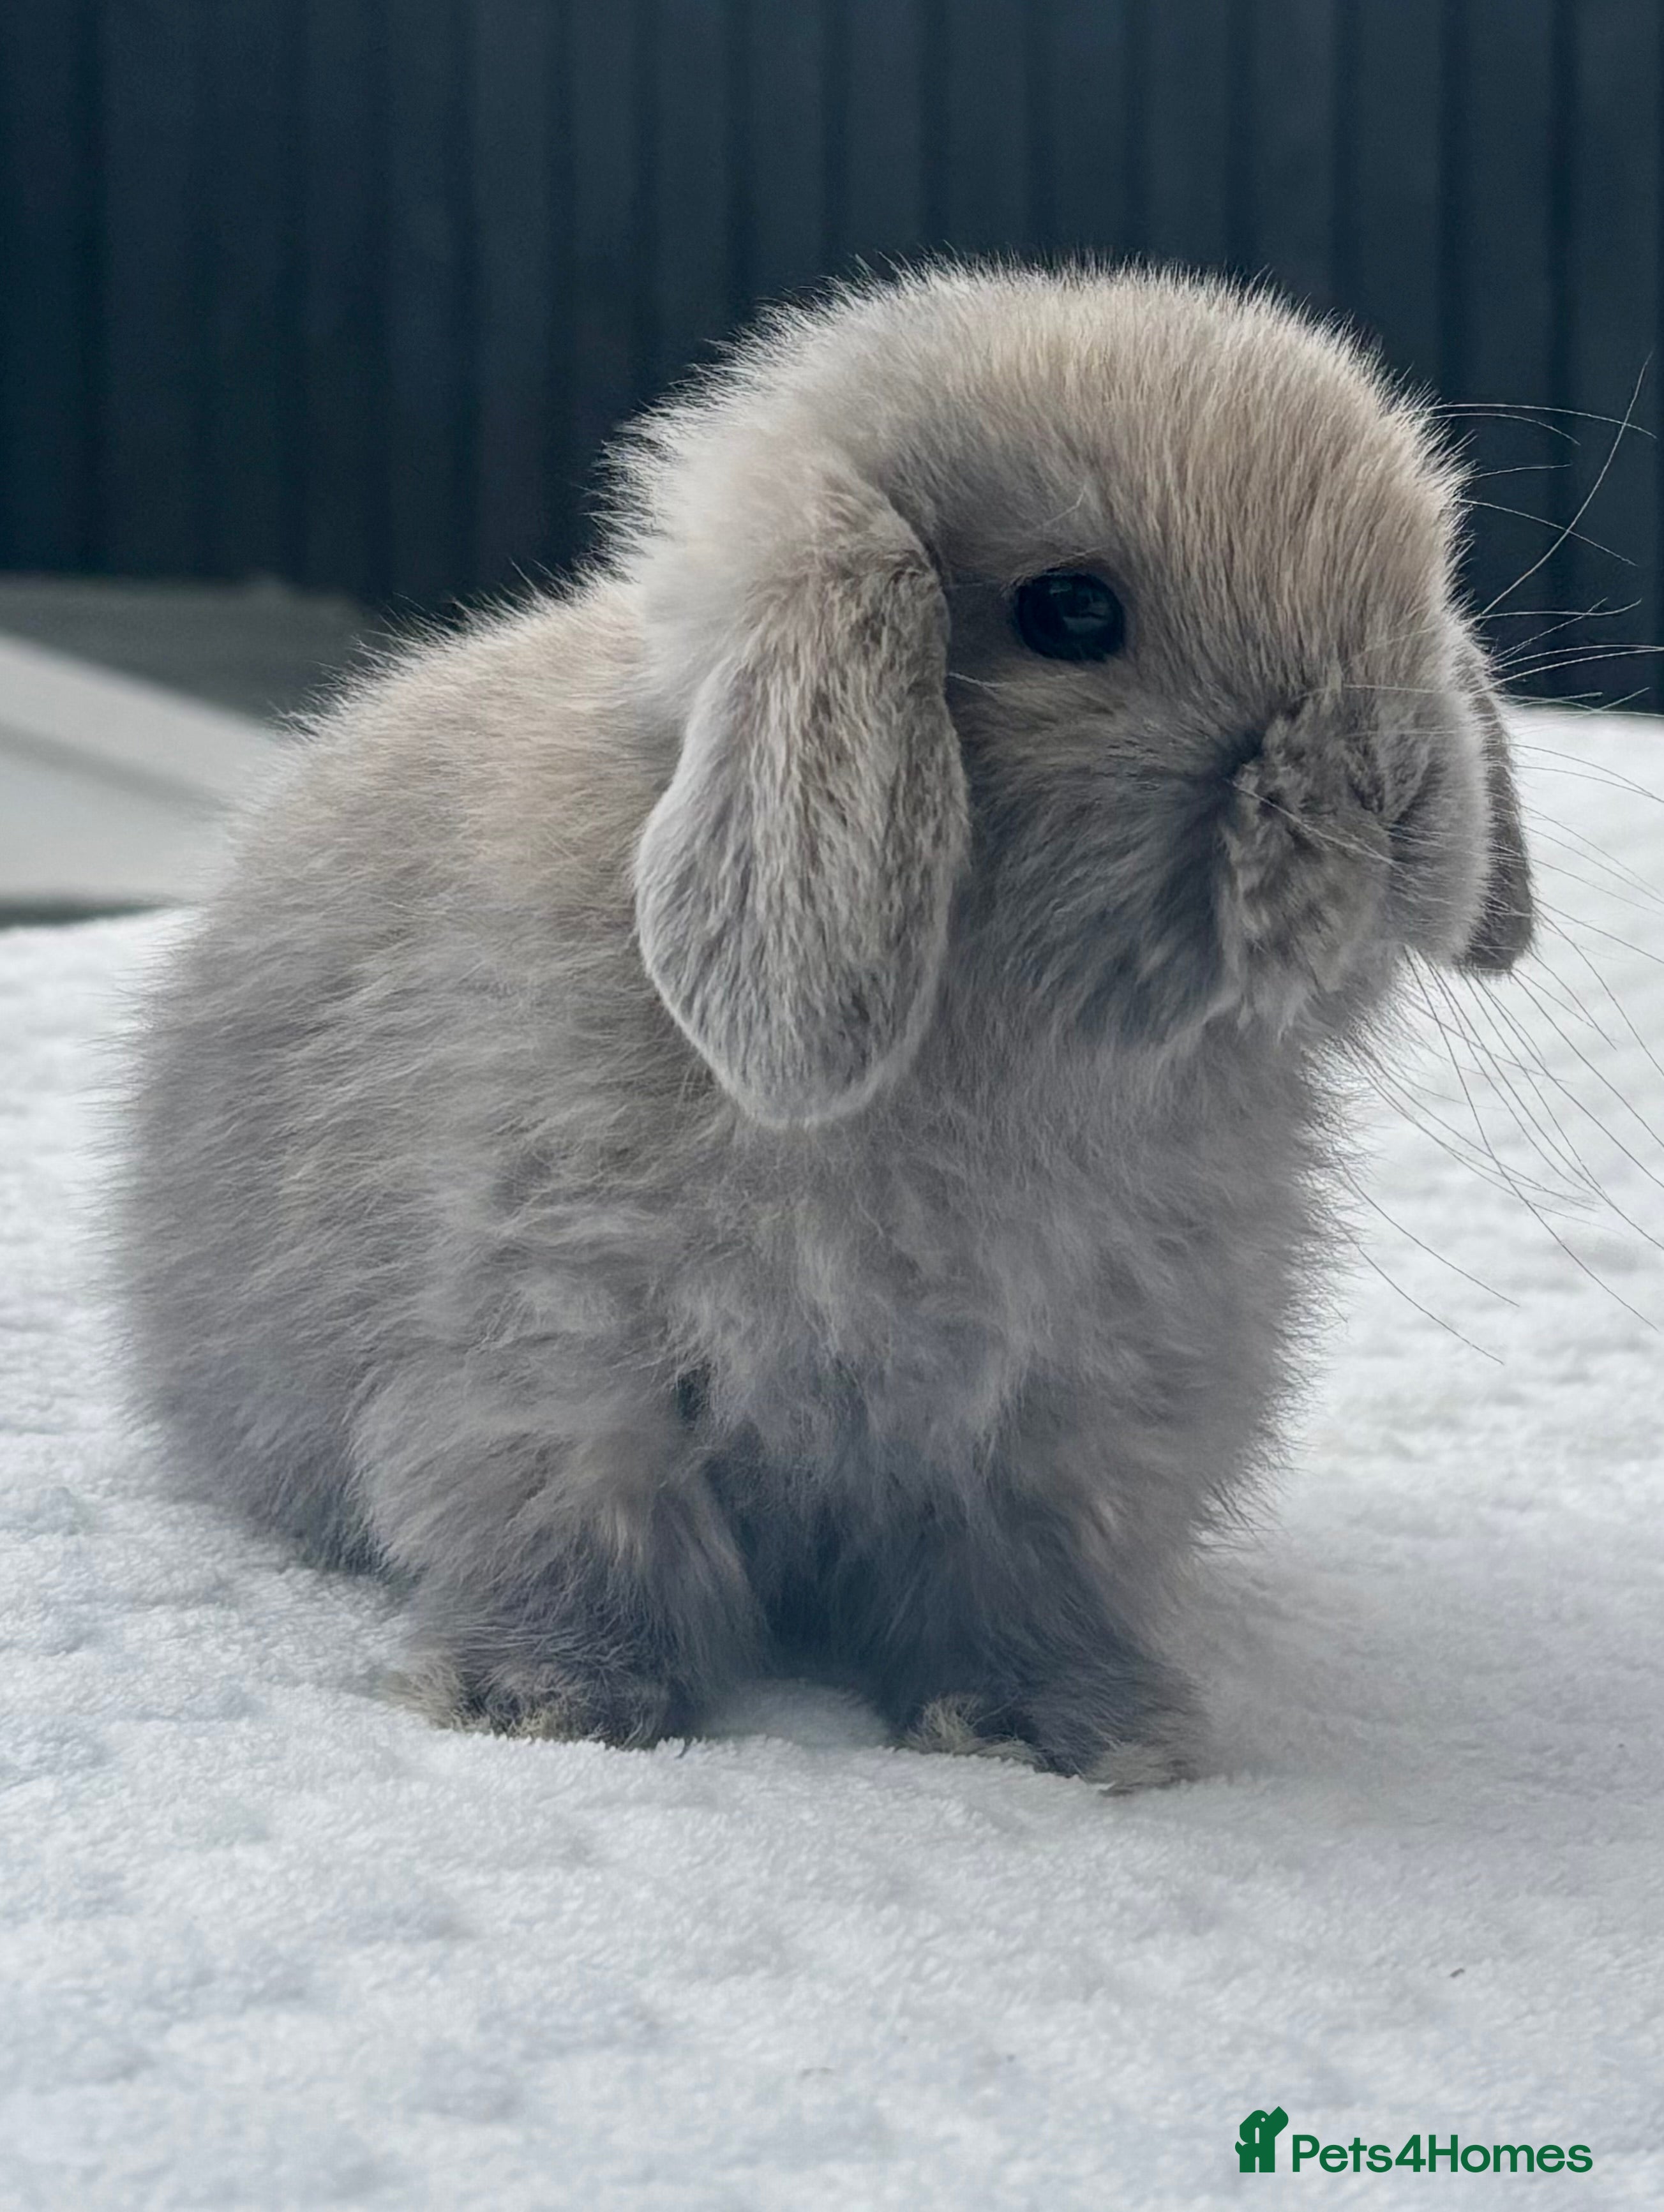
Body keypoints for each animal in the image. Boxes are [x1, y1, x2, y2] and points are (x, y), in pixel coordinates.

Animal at [114, 262, 1533, 1789]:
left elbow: (1019, 1581)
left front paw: (1054, 1732)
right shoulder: (552, 1355)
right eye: (1070, 611)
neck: (1010, 1051)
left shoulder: (1070, 1425)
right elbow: (582, 1537)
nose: (1386, 777)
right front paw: (549, 1700)